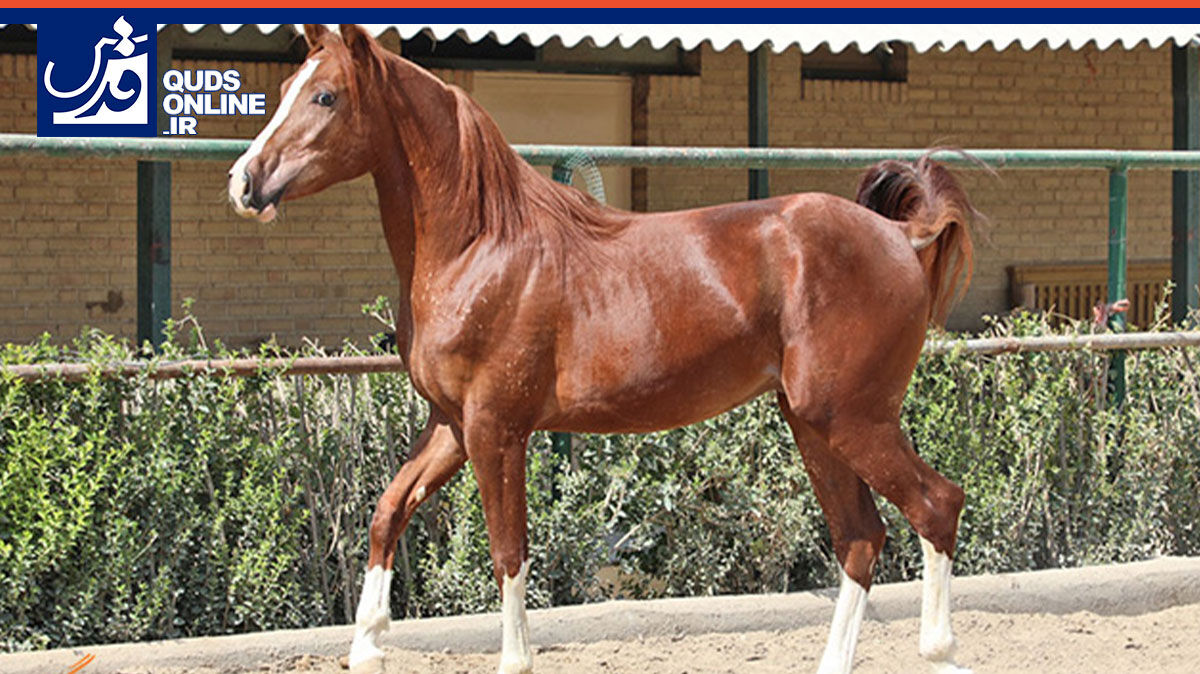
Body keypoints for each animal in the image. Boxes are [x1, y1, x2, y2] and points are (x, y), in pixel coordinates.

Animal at [229, 23, 979, 666]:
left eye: (326, 96)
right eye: (288, 86)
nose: (244, 181)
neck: (479, 245)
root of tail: (901, 237)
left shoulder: (496, 430)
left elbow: (508, 552)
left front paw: (512, 660)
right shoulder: (450, 424)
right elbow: (387, 514)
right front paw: (367, 645)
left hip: (852, 418)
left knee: (935, 506)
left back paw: (941, 649)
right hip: (813, 423)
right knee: (861, 537)